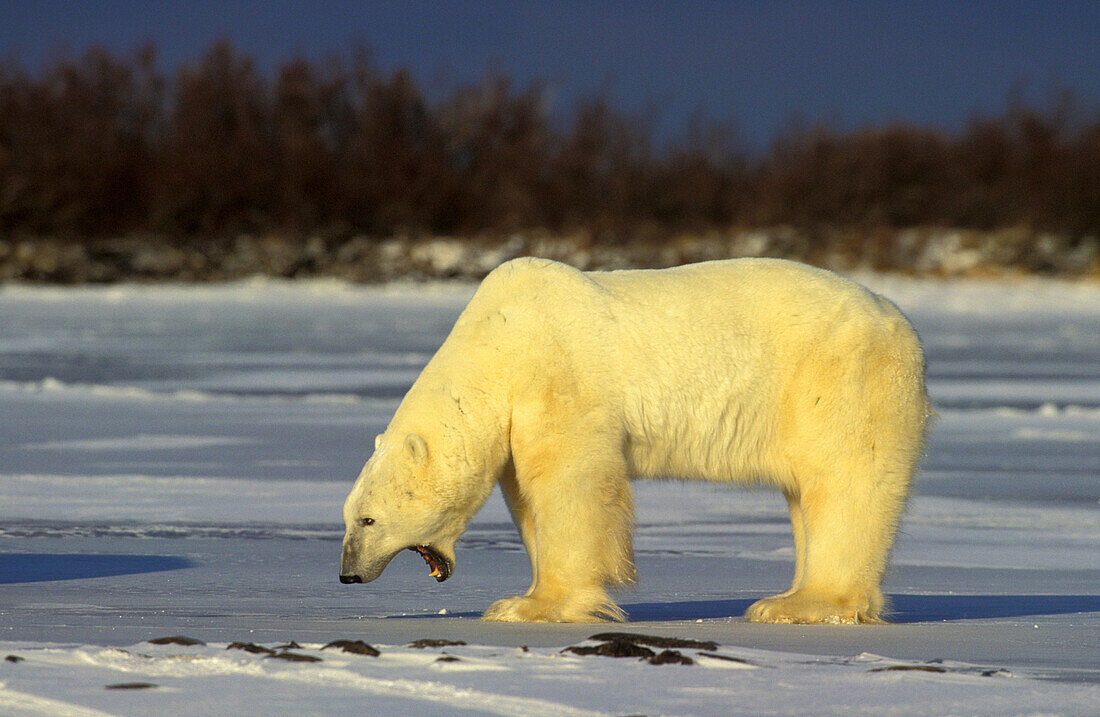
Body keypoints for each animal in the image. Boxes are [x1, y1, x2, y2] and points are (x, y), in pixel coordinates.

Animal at [334, 257, 928, 620]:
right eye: (349, 517)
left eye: (368, 519)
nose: (347, 574)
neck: (495, 345)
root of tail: (900, 322)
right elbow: (526, 496)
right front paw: (527, 593)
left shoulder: (557, 377)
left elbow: (572, 484)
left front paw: (530, 606)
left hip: (838, 378)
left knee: (845, 480)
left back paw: (797, 604)